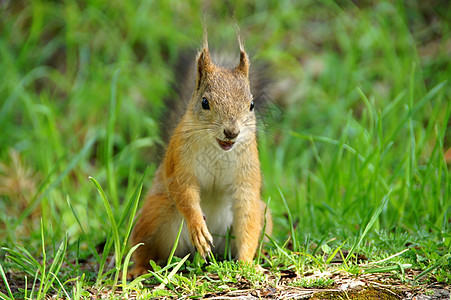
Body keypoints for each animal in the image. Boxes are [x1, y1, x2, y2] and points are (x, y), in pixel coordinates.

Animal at [129, 36, 274, 278]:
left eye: (251, 105)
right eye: (205, 102)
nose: (231, 132)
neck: (218, 149)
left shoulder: (247, 172)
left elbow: (247, 213)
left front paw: (246, 263)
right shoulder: (180, 162)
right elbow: (184, 191)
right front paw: (197, 227)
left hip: (265, 218)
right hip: (153, 216)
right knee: (144, 249)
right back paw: (139, 268)